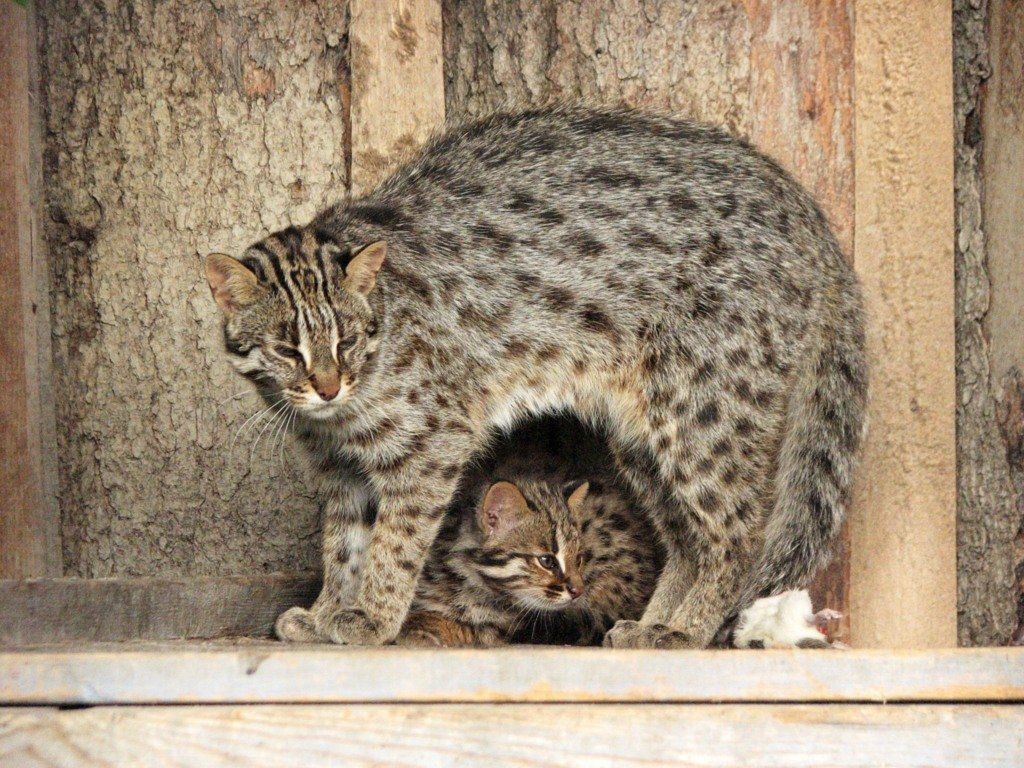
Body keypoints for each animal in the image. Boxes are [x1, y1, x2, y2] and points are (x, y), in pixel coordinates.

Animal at [395, 479, 659, 647]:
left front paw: (421, 626)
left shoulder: (511, 625)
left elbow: (470, 626)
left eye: (579, 558)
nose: (579, 591)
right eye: (547, 561)